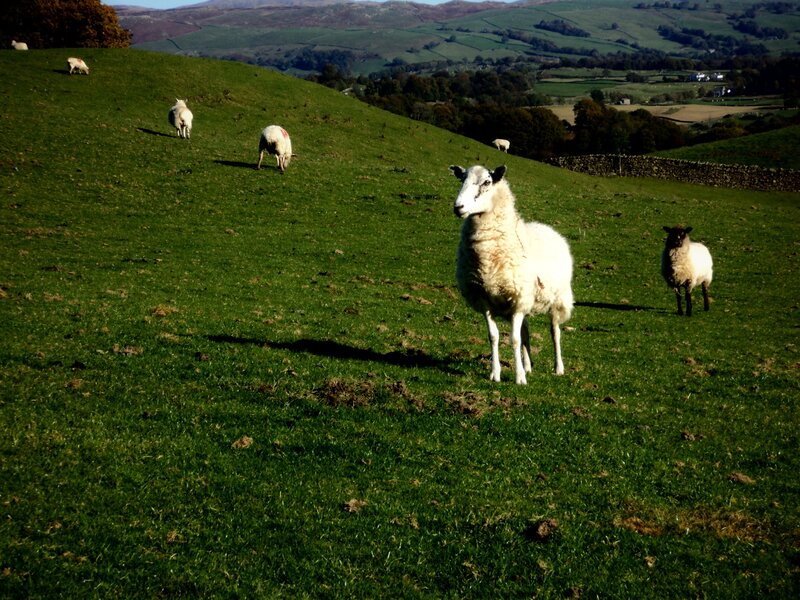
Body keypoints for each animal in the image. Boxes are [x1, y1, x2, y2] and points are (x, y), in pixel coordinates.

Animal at [450, 164, 574, 384]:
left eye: (487, 182)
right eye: (461, 179)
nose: (458, 207)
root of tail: (546, 227)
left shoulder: (517, 299)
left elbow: (514, 339)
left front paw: (519, 378)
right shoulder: (486, 300)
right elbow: (494, 336)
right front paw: (496, 373)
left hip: (557, 298)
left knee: (555, 331)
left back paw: (558, 367)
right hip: (526, 300)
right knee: (526, 331)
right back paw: (528, 366)